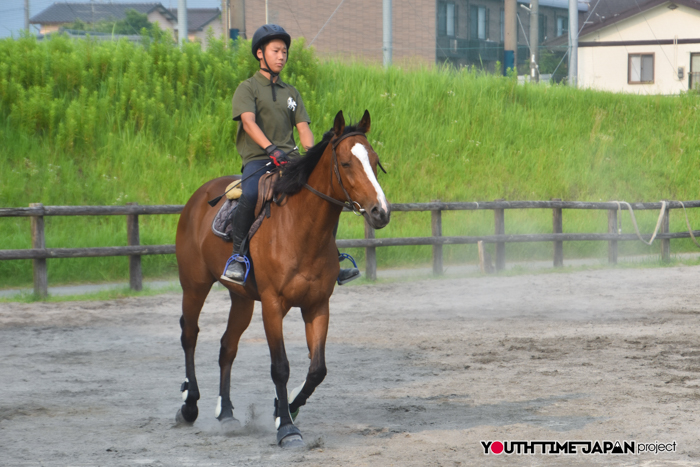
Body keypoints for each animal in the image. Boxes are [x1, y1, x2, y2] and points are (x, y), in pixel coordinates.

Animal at [174, 110, 390, 448]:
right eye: (346, 163)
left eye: (375, 160)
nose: (380, 212)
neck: (300, 229)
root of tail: (198, 197)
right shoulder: (272, 306)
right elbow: (280, 368)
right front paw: (287, 428)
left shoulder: (317, 305)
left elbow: (317, 370)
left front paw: (286, 407)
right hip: (195, 286)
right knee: (190, 335)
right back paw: (189, 405)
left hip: (242, 300)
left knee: (227, 346)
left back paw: (227, 414)